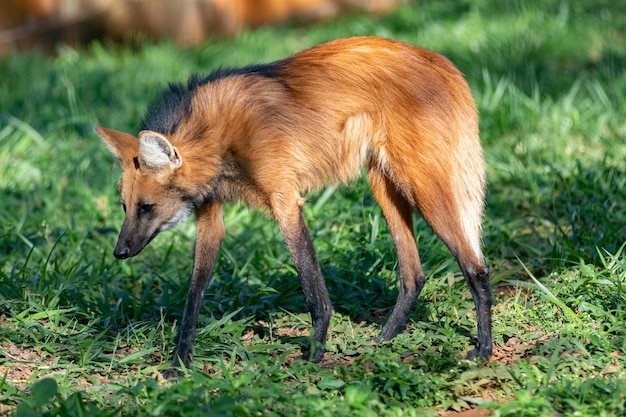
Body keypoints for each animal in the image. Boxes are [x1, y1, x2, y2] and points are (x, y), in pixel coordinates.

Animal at [95, 35, 490, 376]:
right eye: (125, 207)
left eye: (146, 207)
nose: (119, 252)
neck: (217, 138)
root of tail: (440, 60)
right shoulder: (210, 216)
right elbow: (193, 298)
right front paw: (179, 363)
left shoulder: (285, 200)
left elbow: (312, 287)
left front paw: (314, 353)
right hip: (384, 184)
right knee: (413, 275)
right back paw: (382, 341)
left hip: (421, 186)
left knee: (476, 266)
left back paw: (483, 350)